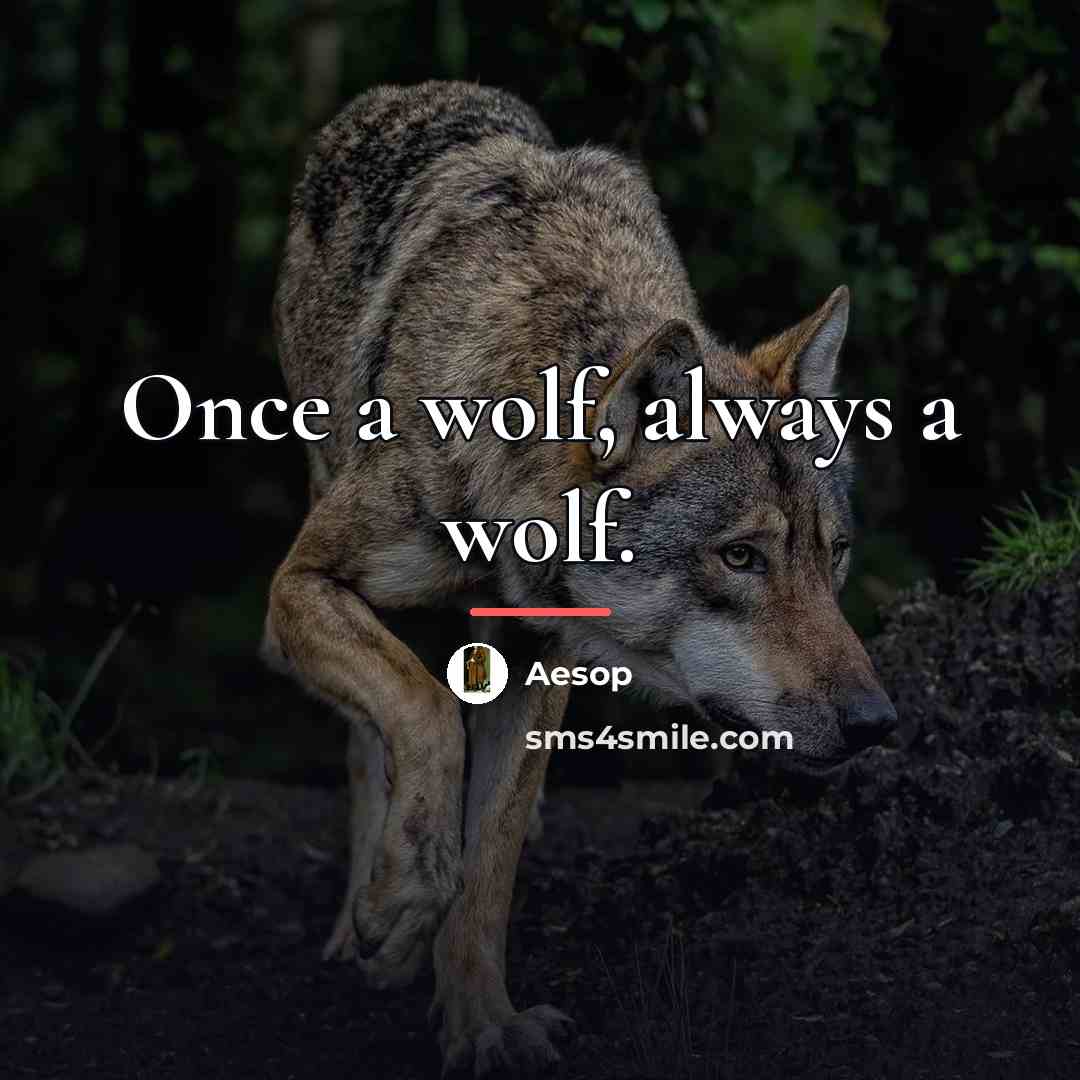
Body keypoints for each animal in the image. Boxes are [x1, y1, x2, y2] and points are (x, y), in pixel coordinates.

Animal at [264, 80, 896, 1077]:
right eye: (740, 557)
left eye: (830, 554)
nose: (878, 723)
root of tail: (397, 96)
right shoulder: (300, 586)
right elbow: (423, 714)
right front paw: (401, 898)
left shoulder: (538, 660)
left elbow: (489, 866)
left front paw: (484, 1025)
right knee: (373, 739)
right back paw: (367, 917)